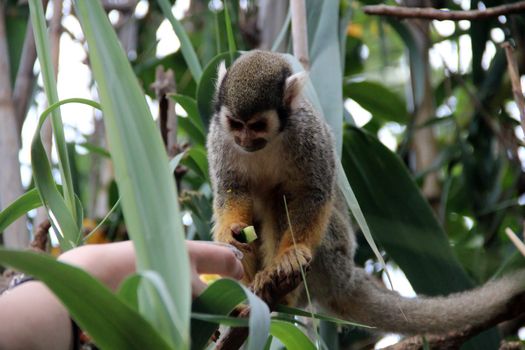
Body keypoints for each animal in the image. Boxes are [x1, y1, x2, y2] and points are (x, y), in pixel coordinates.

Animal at [207, 51, 524, 334]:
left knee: (281, 199)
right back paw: (244, 295)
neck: (270, 141)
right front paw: (231, 232)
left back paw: (280, 290)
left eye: (257, 125)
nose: (244, 140)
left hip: (332, 253)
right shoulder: (219, 137)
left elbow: (312, 192)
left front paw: (290, 253)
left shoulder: (307, 132)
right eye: (236, 124)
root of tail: (346, 276)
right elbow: (232, 190)